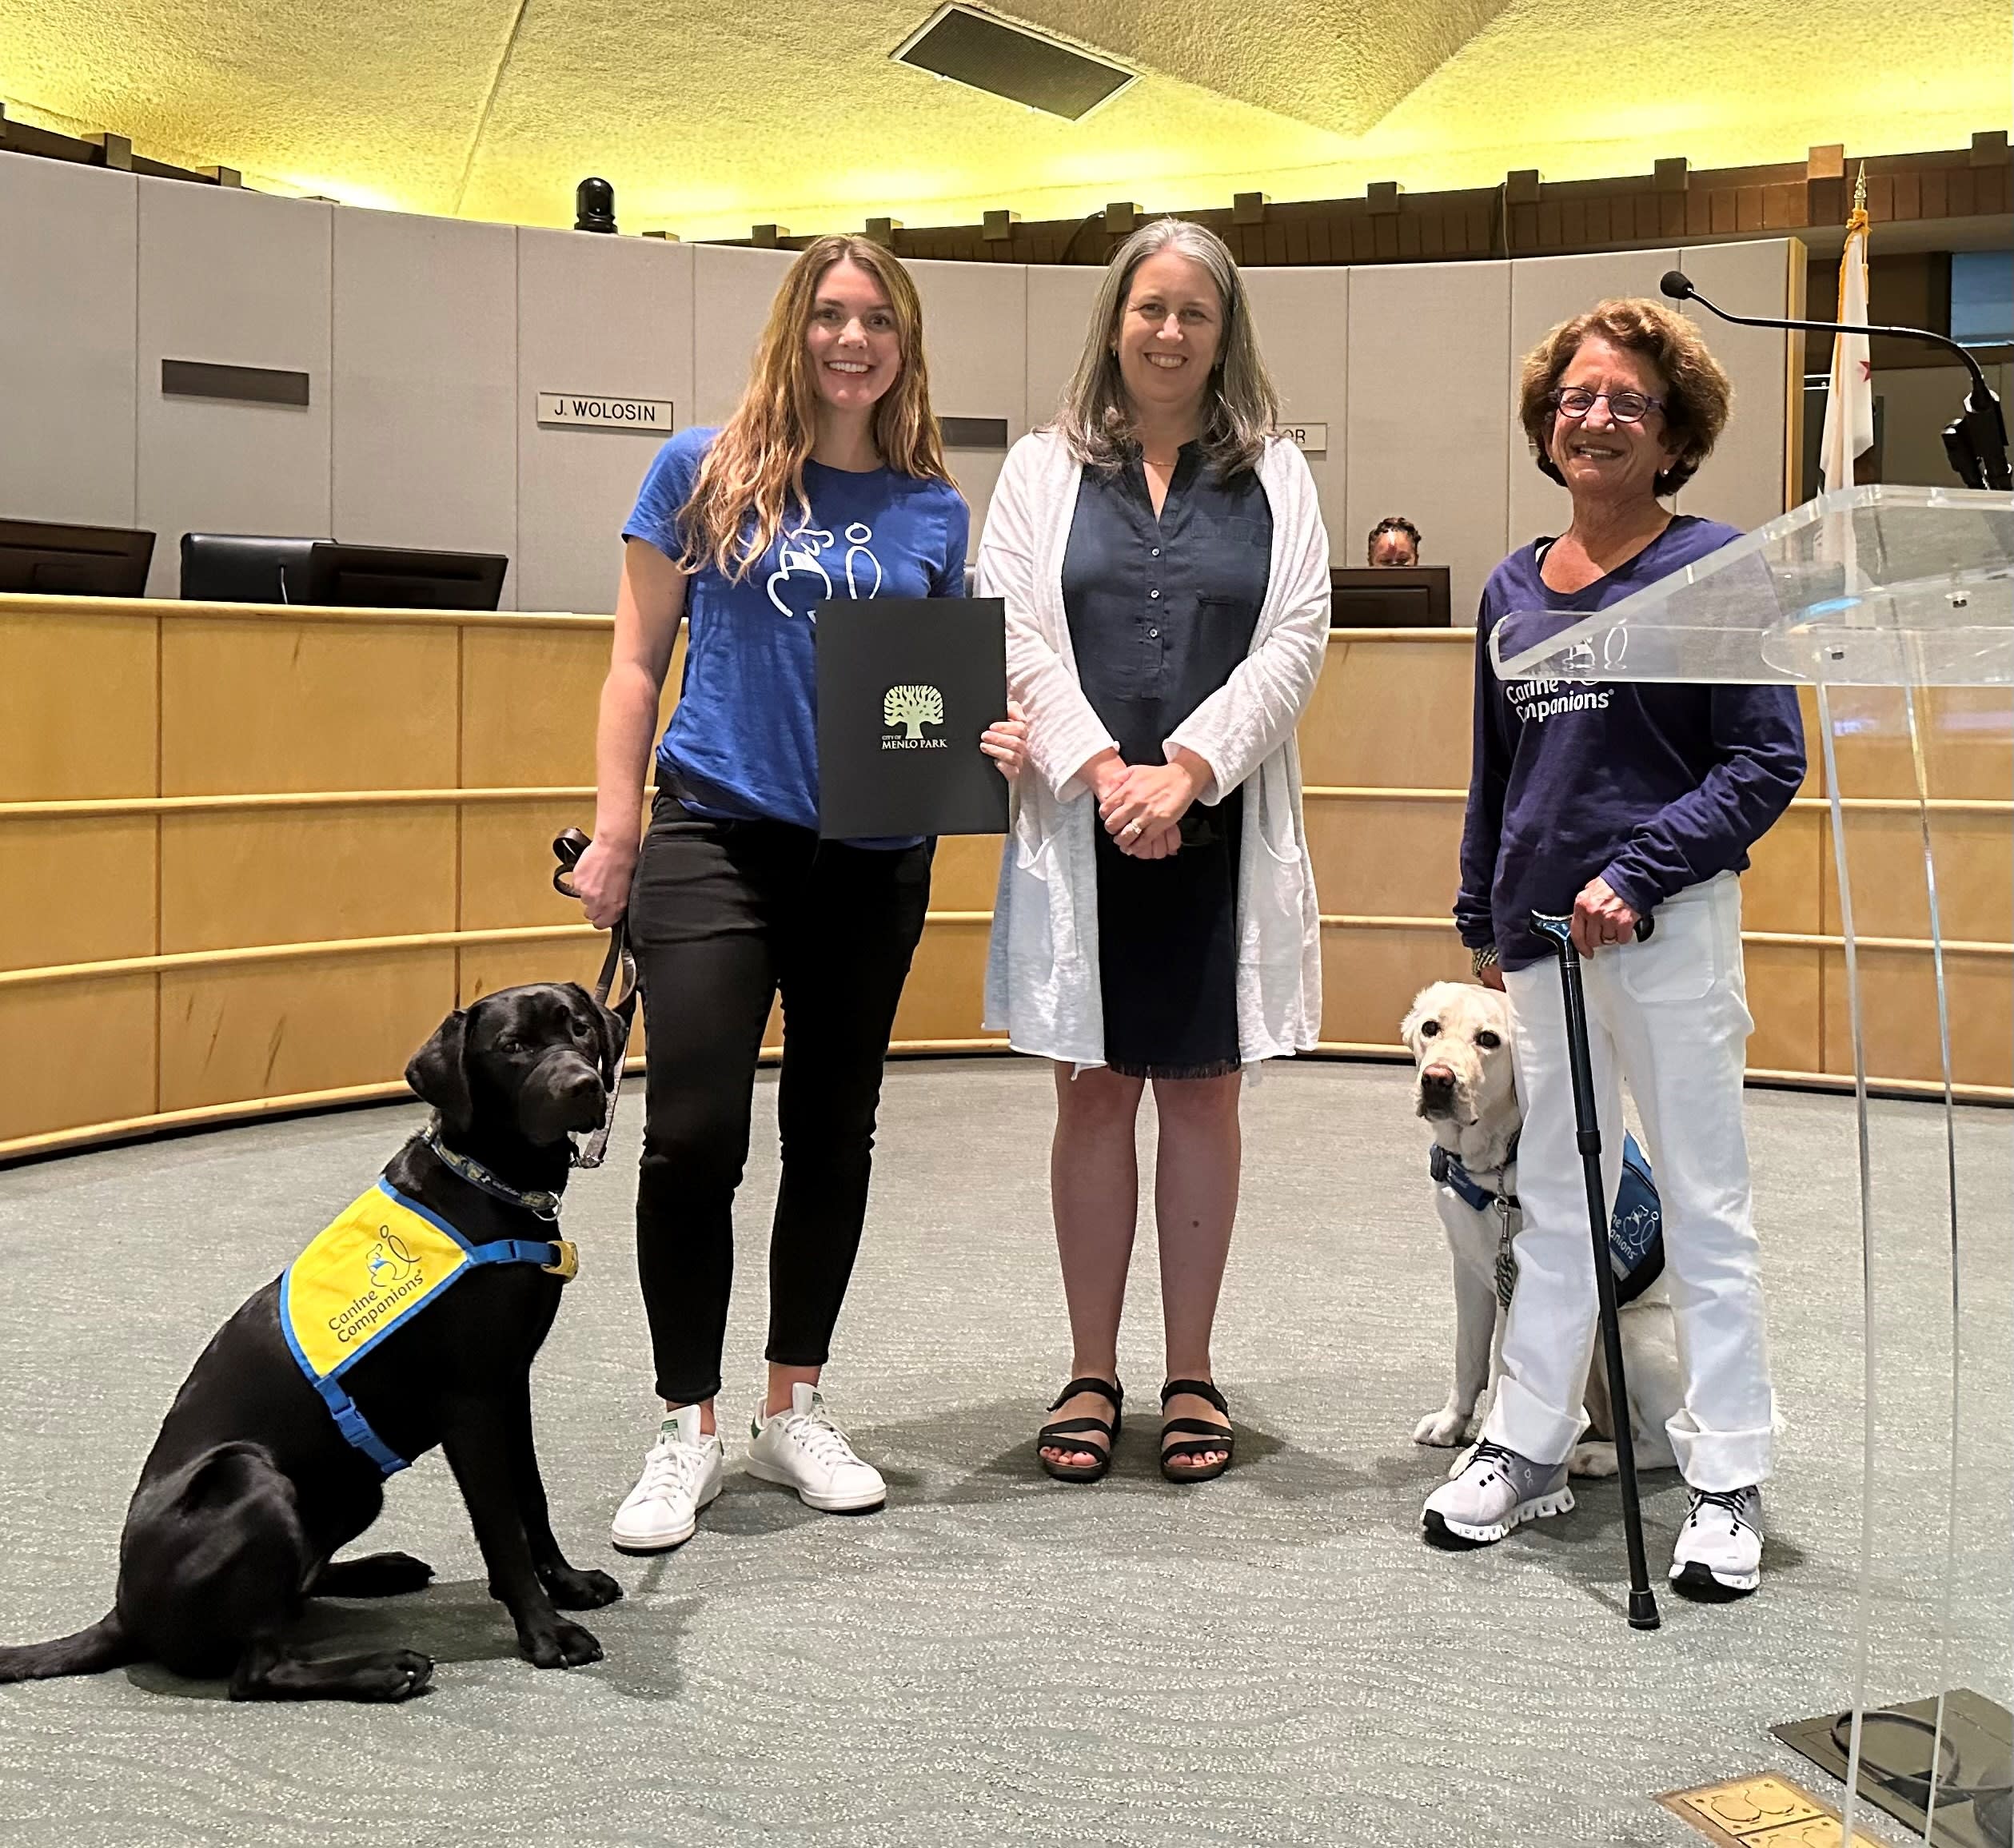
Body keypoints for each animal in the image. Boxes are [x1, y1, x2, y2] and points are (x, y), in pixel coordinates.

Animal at [0, 982, 624, 1707]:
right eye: (513, 1047)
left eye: (579, 1029)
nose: (583, 1085)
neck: (486, 1183)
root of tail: (124, 1613)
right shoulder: (470, 1402)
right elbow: (500, 1524)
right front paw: (544, 1634)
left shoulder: (510, 1382)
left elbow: (532, 1499)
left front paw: (568, 1584)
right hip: (251, 1478)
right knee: (255, 1670)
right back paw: (382, 1668)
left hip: (353, 1489)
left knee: (298, 1588)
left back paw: (381, 1570)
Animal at [1402, 982, 1683, 1473]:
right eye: (1430, 1028)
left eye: (1489, 1040)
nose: (1437, 1079)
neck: (1496, 1159)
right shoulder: (1469, 1272)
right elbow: (1468, 1360)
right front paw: (1451, 1425)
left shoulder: (1519, 1289)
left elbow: (1500, 1376)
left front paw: (1480, 1455)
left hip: (1628, 1335)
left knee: (1661, 1444)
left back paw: (1595, 1457)